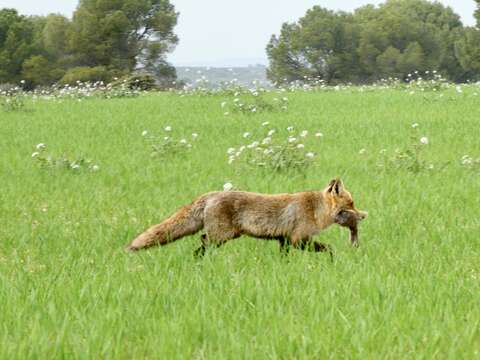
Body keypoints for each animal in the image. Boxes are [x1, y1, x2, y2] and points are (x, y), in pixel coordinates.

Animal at [124, 177, 368, 256]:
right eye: (351, 204)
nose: (363, 216)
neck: (316, 210)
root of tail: (210, 195)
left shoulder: (284, 240)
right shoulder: (298, 239)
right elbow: (329, 249)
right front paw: (333, 258)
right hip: (221, 236)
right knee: (201, 243)